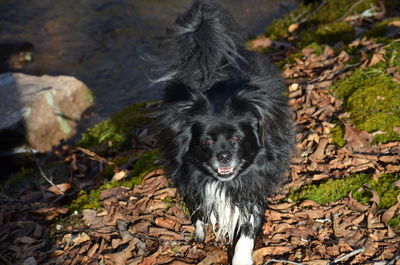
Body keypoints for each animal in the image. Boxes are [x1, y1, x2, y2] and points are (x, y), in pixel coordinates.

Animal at [150, 1, 294, 262]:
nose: (224, 156)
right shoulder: (188, 177)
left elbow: (247, 227)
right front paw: (201, 231)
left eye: (238, 138)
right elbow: (199, 209)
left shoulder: (253, 186)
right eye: (206, 142)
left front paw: (241, 258)